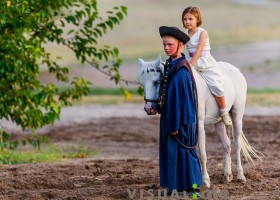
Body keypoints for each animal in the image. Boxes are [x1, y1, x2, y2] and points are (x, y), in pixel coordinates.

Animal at [137, 55, 262, 189]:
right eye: (142, 84)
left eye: (156, 81)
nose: (148, 108)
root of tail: (236, 71)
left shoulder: (199, 125)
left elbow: (202, 153)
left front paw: (205, 181)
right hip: (218, 122)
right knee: (226, 145)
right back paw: (227, 176)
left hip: (237, 116)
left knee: (236, 144)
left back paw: (240, 175)